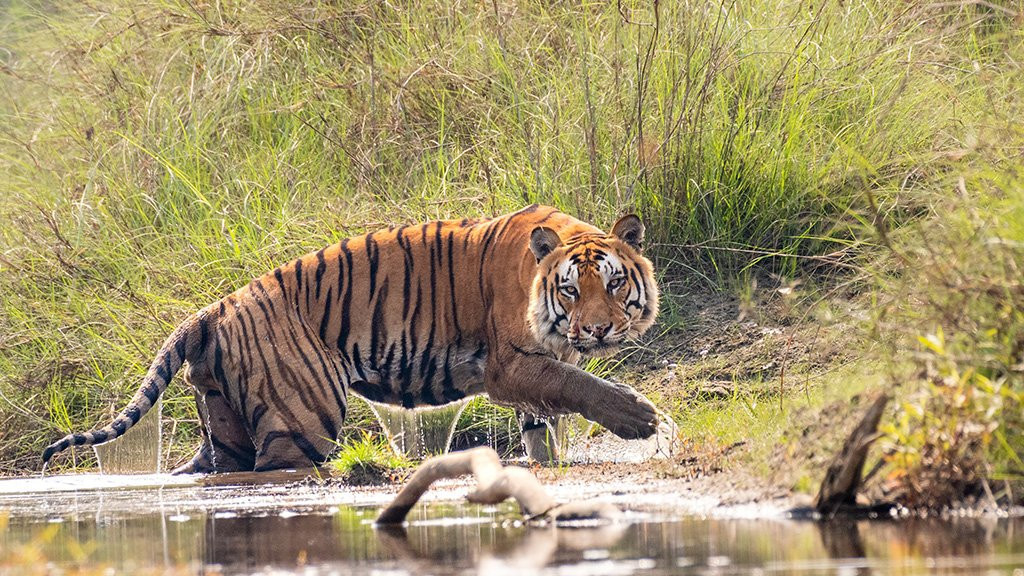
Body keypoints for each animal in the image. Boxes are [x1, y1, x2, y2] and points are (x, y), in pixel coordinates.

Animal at [41, 204, 661, 473]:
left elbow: (545, 420)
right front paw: (642, 420)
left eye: (613, 282)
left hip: (225, 427)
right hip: (302, 419)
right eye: (571, 290)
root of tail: (213, 310)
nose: (596, 328)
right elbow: (578, 386)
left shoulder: (535, 370)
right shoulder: (511, 365)